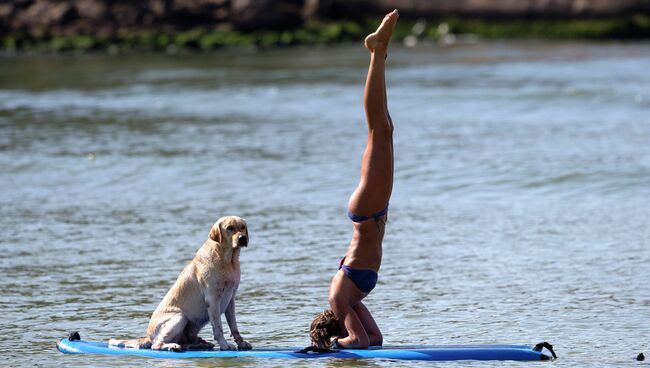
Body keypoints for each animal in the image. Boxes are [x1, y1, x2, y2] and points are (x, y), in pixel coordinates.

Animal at [109, 217, 251, 352]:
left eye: (243, 227)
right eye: (229, 228)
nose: (242, 238)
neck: (228, 261)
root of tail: (147, 336)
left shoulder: (230, 299)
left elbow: (234, 326)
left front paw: (241, 342)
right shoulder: (213, 300)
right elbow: (218, 328)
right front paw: (224, 345)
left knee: (184, 343)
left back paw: (198, 344)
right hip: (180, 317)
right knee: (156, 344)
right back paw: (172, 346)